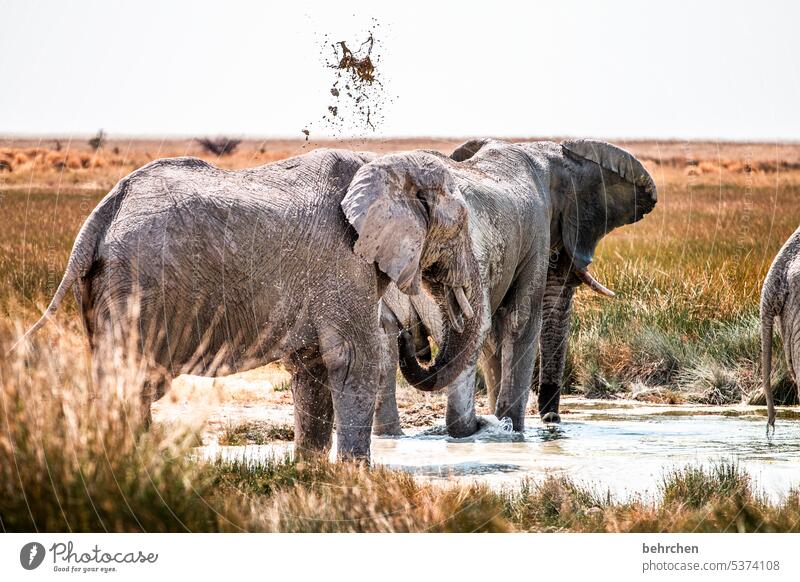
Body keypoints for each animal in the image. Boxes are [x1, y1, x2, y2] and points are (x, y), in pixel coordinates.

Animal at [17, 148, 482, 464]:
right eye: (461, 223)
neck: (385, 164)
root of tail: (102, 211)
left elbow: (313, 366)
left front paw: (310, 471)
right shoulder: (344, 262)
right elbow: (355, 359)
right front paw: (358, 476)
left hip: (105, 288)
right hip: (136, 283)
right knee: (131, 379)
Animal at [372, 138, 652, 438]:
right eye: (554, 257)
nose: (552, 419)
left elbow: (495, 338)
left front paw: (501, 425)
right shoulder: (536, 233)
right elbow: (521, 321)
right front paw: (512, 430)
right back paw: (466, 430)